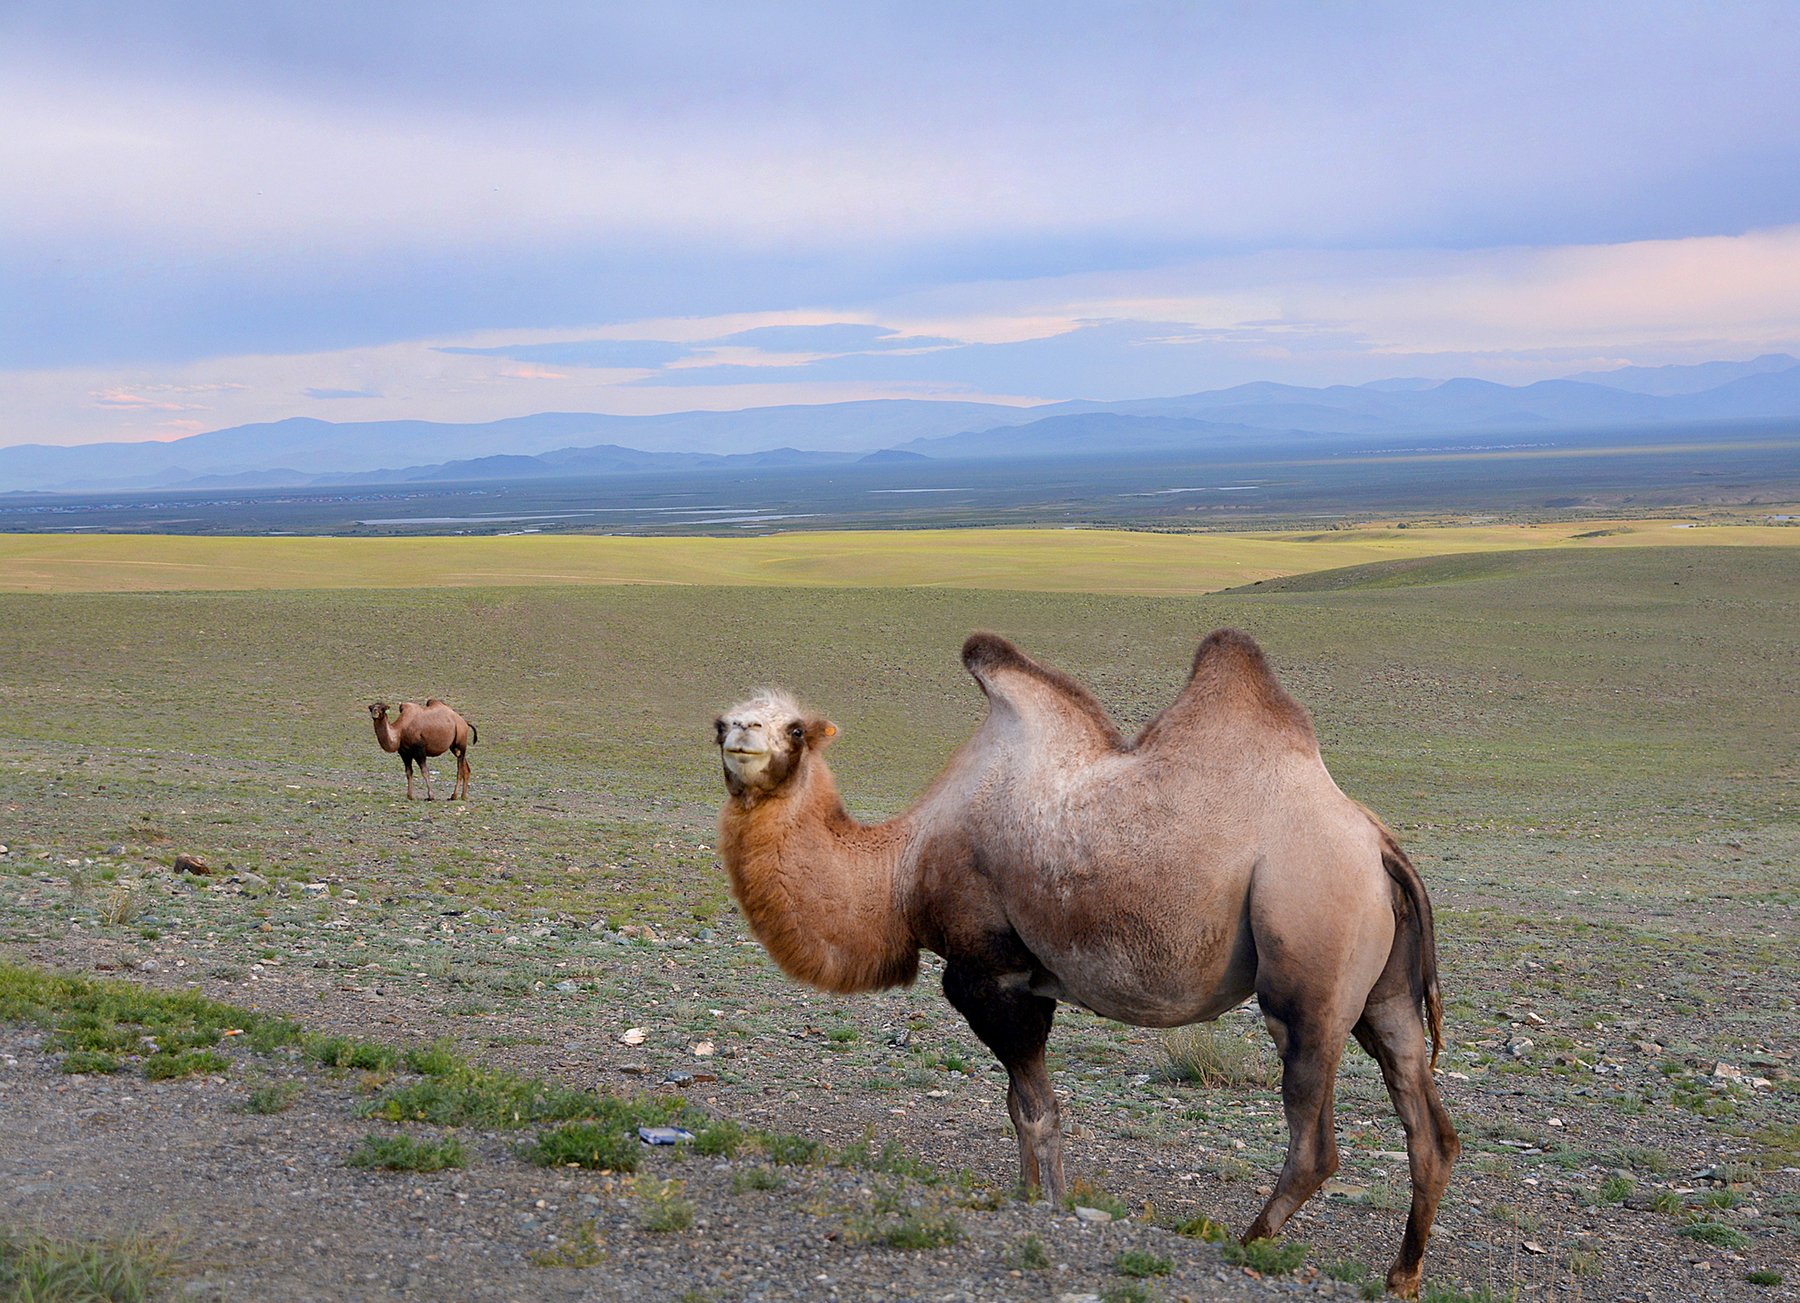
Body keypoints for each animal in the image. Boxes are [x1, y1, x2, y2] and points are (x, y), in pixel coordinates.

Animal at [709, 629, 1454, 1295]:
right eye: (721, 720)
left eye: (794, 729)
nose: (739, 733)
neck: (903, 869)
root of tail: (1378, 845)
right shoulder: (1024, 984)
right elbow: (1018, 1108)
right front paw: (1025, 1196)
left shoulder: (992, 975)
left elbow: (1039, 1111)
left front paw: (1055, 1206)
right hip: (1383, 990)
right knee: (1428, 1126)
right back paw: (1401, 1275)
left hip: (1308, 955)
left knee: (1314, 1135)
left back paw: (1245, 1241)